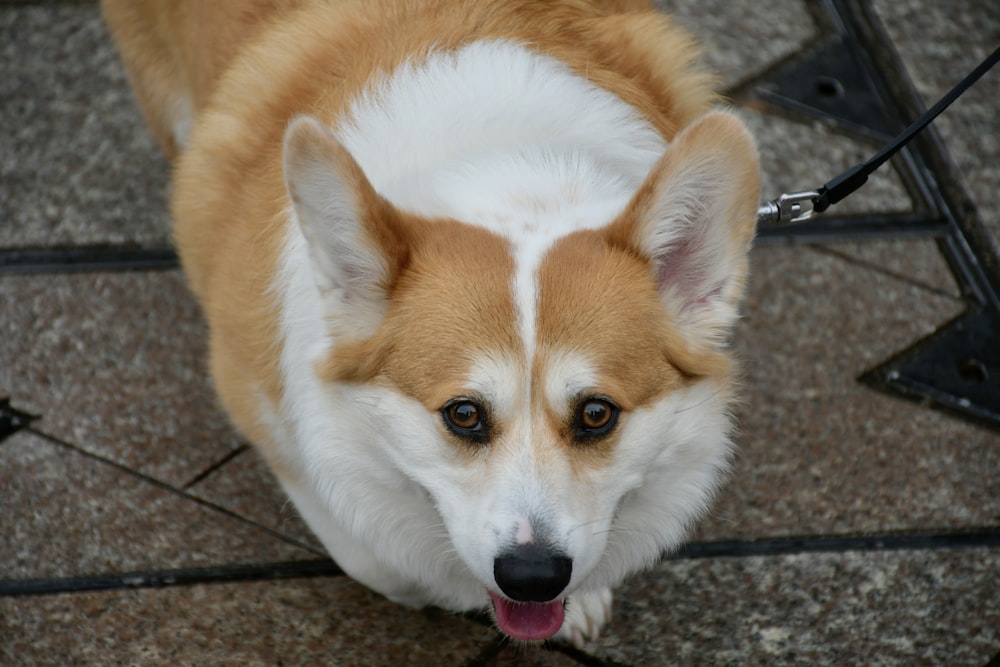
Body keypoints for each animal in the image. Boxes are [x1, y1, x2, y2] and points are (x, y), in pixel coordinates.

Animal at [101, 0, 756, 648]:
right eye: (463, 415)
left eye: (597, 414)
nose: (533, 577)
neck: (508, 165)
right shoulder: (264, 406)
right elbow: (378, 555)